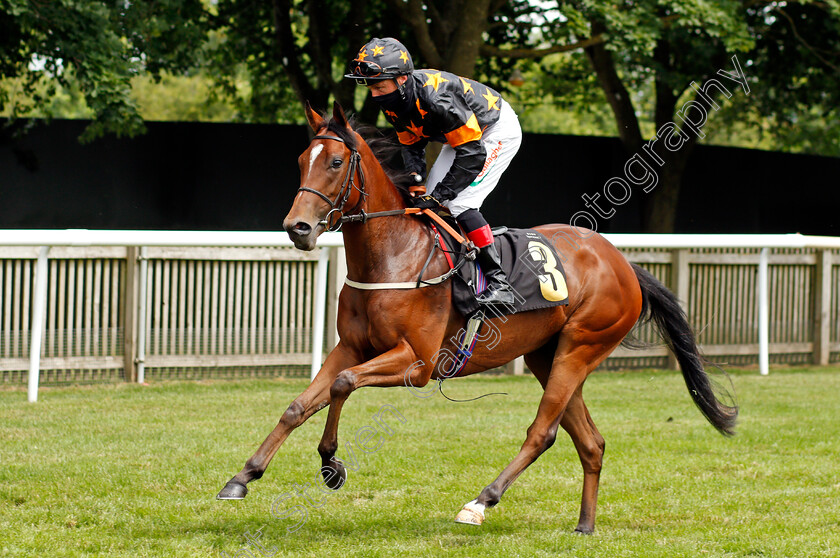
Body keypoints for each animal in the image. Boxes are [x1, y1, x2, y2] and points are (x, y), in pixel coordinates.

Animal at [217, 103, 736, 536]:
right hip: (549, 356)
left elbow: (344, 385)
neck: (393, 256)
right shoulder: (351, 347)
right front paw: (243, 476)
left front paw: (331, 465)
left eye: (336, 162)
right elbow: (299, 405)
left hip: (581, 347)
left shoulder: (417, 363)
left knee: (542, 432)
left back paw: (481, 501)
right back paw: (585, 526)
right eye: (301, 160)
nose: (297, 228)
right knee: (591, 441)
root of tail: (624, 264)